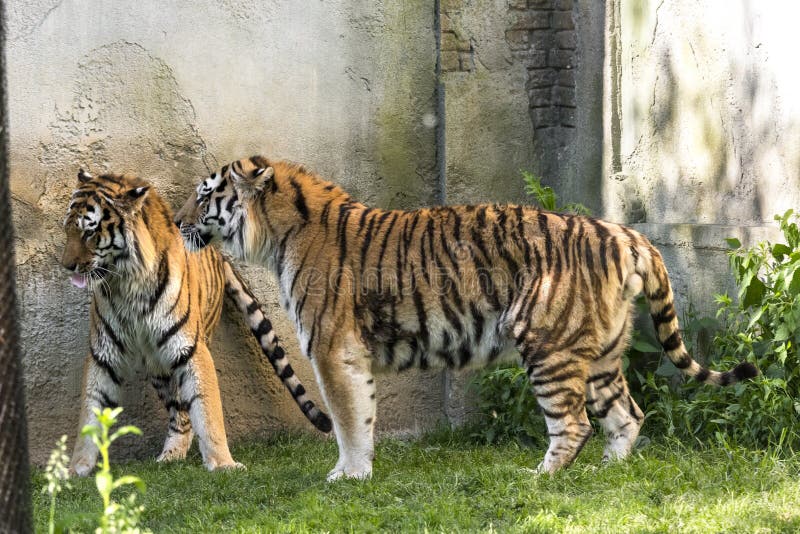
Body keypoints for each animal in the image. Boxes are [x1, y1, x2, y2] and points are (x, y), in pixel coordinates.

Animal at [61, 169, 332, 478]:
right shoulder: (103, 353)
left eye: (89, 232)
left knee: (185, 411)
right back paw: (170, 455)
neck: (126, 282)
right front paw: (74, 470)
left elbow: (207, 406)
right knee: (178, 411)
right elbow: (90, 410)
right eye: (67, 229)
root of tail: (218, 254)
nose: (66, 266)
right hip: (156, 363)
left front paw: (224, 463)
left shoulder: (190, 348)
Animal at [173, 155, 756, 482]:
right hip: (602, 354)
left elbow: (346, 420)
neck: (277, 234)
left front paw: (348, 476)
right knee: (627, 415)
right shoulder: (347, 355)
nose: (176, 222)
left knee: (574, 424)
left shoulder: (332, 349)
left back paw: (540, 478)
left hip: (549, 346)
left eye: (204, 196)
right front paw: (357, 471)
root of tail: (625, 234)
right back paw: (608, 474)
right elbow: (361, 415)